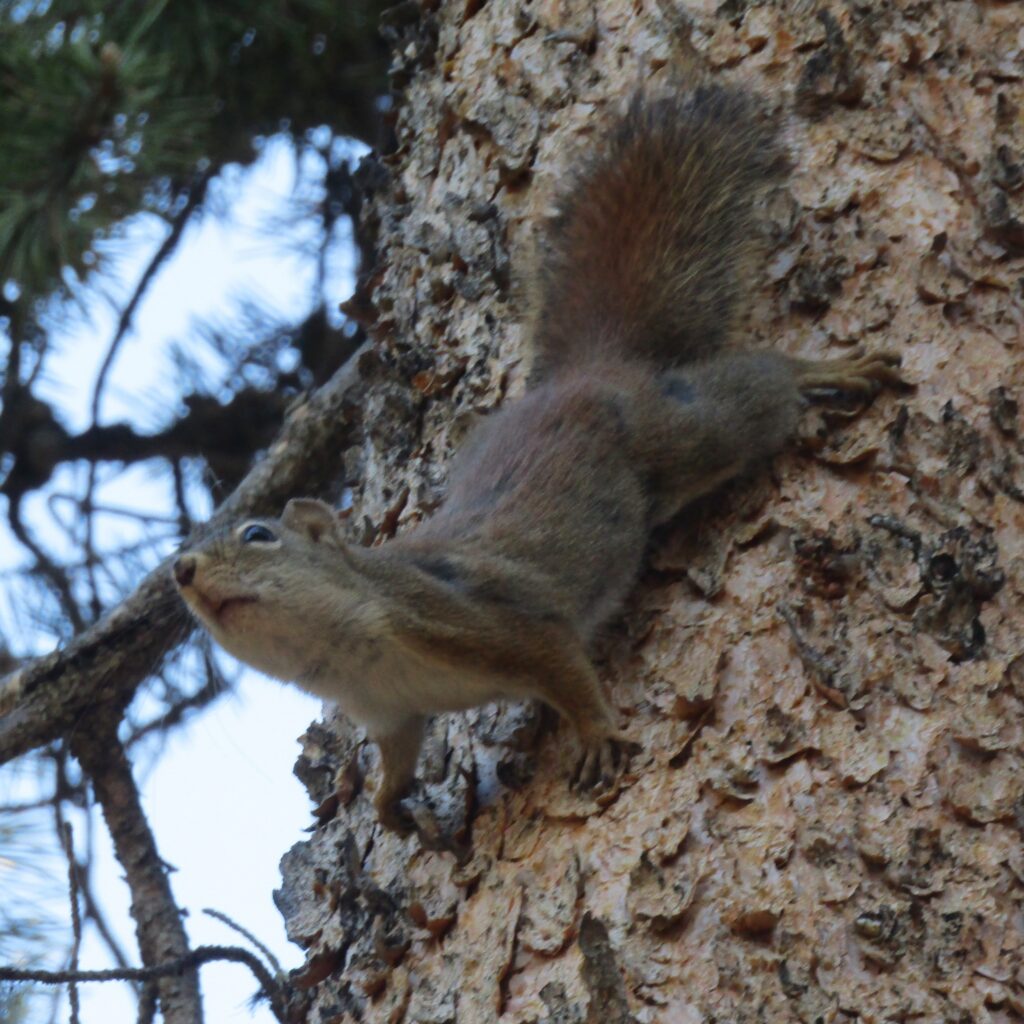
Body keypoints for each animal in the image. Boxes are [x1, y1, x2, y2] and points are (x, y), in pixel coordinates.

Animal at [172, 86, 901, 831]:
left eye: (258, 534)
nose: (181, 571)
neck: (349, 655)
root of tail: (589, 373)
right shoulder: (393, 713)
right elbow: (399, 761)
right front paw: (387, 808)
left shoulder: (484, 620)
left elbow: (561, 664)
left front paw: (597, 733)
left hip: (681, 434)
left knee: (755, 392)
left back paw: (827, 371)